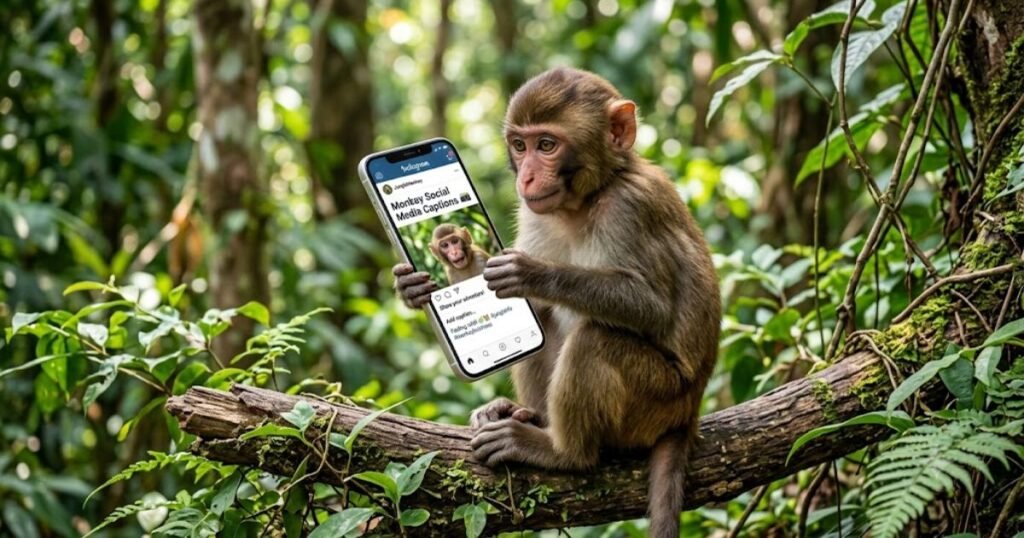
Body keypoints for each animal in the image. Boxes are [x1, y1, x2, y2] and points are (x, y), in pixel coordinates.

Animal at [394, 67, 720, 537]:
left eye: (547, 145)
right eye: (520, 145)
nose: (525, 178)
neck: (585, 200)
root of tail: (689, 412)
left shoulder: (630, 208)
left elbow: (651, 307)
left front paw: (530, 272)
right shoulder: (534, 211)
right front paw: (411, 288)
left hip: (658, 400)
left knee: (594, 339)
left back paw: (561, 451)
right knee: (544, 321)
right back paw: (528, 415)